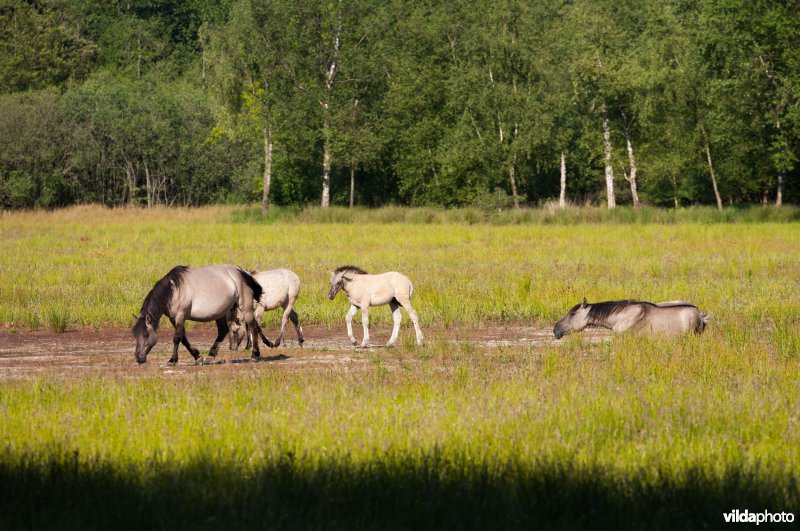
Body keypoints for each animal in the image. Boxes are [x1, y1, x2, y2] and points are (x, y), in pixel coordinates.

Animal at [132, 264, 266, 366]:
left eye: (146, 334)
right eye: (135, 335)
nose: (138, 358)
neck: (175, 290)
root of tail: (242, 272)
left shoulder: (181, 315)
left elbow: (177, 338)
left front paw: (172, 360)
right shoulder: (173, 318)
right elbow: (184, 338)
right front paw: (197, 357)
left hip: (245, 308)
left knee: (253, 327)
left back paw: (255, 354)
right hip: (220, 312)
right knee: (223, 330)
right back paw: (211, 355)